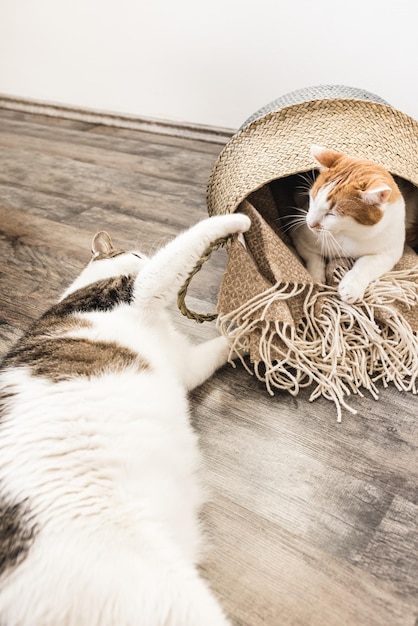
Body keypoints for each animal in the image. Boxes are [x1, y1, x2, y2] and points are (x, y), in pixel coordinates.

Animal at [0, 212, 248, 624]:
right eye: (135, 253)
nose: (142, 254)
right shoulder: (141, 289)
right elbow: (187, 243)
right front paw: (237, 220)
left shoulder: (186, 365)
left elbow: (220, 346)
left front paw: (254, 334)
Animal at [290, 146, 416, 302]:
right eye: (313, 199)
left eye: (332, 214)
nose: (310, 224)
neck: (349, 233)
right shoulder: (300, 236)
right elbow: (314, 257)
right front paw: (316, 277)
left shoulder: (389, 251)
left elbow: (367, 264)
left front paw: (352, 286)